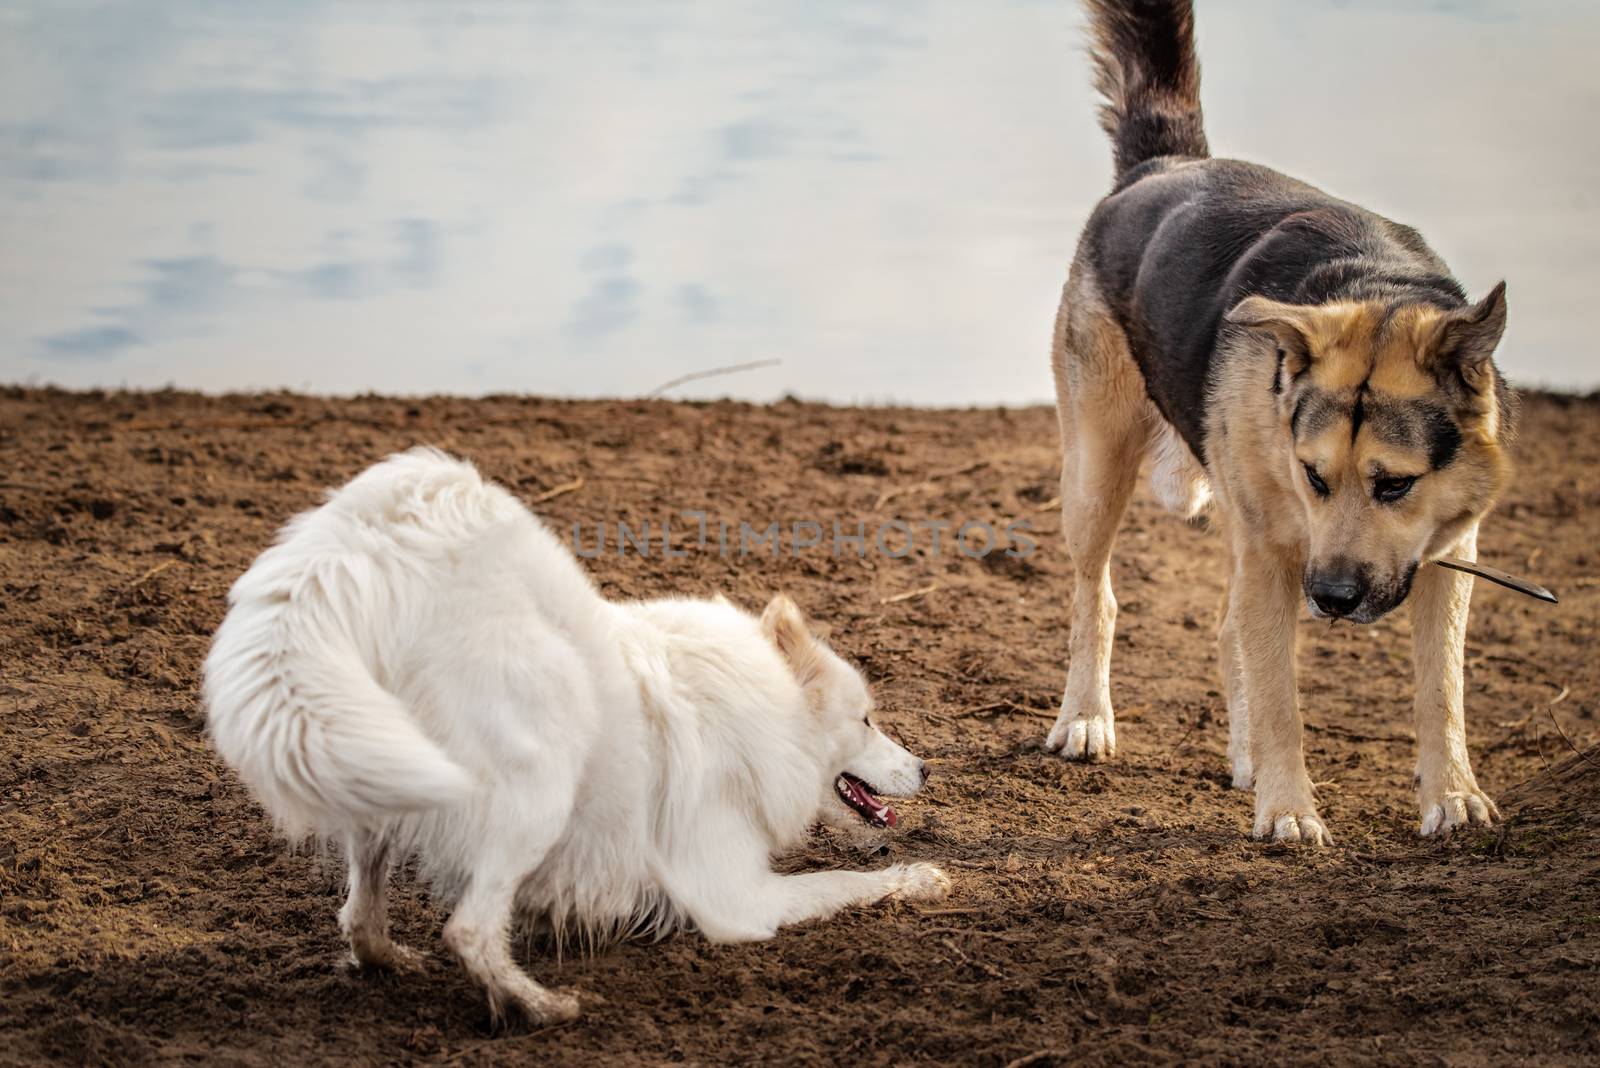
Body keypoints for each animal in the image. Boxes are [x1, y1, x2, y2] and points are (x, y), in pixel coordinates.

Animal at [203, 447, 947, 1023]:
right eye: (866, 719)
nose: (926, 769)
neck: (766, 710)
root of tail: (373, 544)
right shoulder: (738, 899)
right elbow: (845, 881)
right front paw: (921, 879)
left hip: (380, 770)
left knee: (359, 917)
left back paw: (394, 960)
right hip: (539, 785)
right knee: (468, 930)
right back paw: (540, 1006)